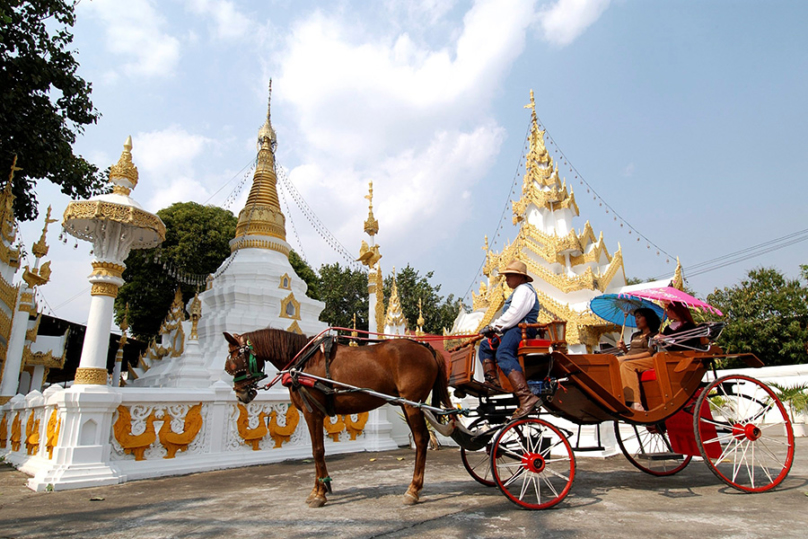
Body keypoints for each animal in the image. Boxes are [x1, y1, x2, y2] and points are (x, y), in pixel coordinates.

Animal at [224, 330, 452, 510]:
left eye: (234, 360)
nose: (240, 394)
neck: (302, 363)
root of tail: (427, 349)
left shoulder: (312, 412)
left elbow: (317, 451)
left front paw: (319, 493)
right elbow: (317, 450)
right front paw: (319, 489)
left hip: (412, 404)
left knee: (421, 439)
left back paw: (413, 490)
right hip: (408, 403)